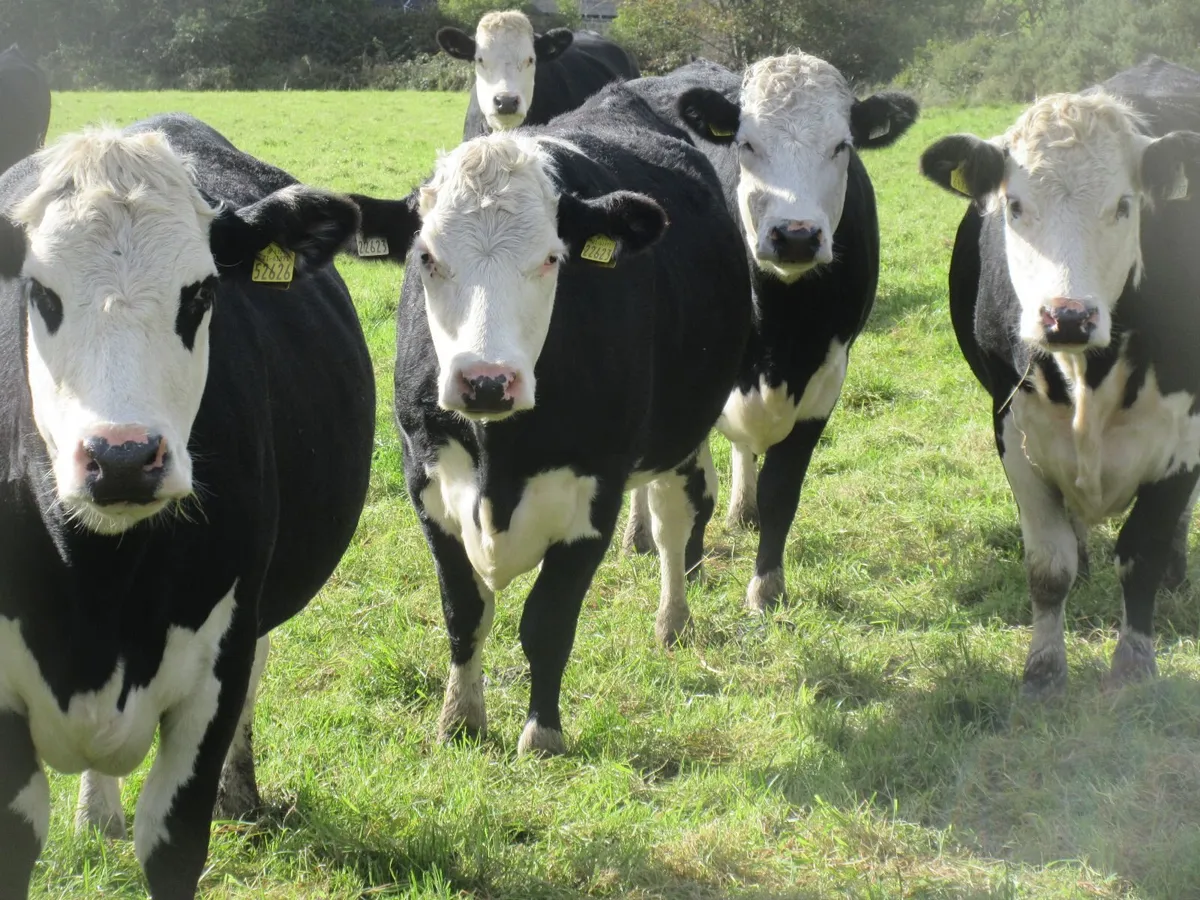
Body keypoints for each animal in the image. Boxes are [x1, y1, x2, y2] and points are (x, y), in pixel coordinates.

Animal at [0, 112, 375, 898]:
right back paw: (97, 813)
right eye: (40, 294)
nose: (121, 456)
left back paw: (243, 794)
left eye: (200, 293)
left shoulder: (215, 666)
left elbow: (173, 842)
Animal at [351, 81, 751, 756]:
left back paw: (672, 621)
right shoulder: (425, 485)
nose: (487, 380)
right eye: (426, 258)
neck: (499, 461)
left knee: (675, 522)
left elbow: (548, 621)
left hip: (679, 434)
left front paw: (542, 733)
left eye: (550, 259)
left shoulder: (595, 493)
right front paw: (460, 718)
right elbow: (463, 612)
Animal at [621, 55, 919, 612]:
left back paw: (745, 508)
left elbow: (784, 489)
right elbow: (694, 494)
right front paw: (690, 567)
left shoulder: (825, 382)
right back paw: (637, 532)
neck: (783, 332)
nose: (796, 235)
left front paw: (765, 587)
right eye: (747, 144)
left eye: (842, 145)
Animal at [919, 57, 1200, 697]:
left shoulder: (1185, 436)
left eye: (1125, 205)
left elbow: (1141, 555)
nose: (1066, 316)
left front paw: (1133, 668)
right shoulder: (1015, 429)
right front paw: (1043, 671)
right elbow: (1049, 567)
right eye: (1015, 206)